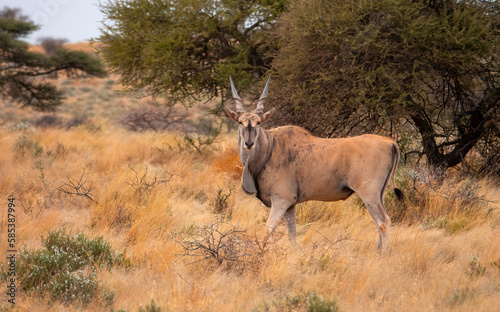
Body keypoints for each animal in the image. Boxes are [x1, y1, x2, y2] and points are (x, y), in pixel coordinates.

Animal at [225, 77, 404, 251]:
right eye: (240, 122)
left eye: (259, 123)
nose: (249, 143)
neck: (270, 147)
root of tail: (389, 142)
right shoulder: (290, 206)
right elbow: (292, 234)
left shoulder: (281, 200)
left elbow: (269, 228)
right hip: (379, 194)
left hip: (369, 194)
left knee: (384, 222)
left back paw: (382, 255)